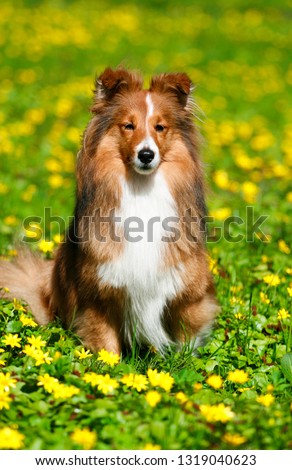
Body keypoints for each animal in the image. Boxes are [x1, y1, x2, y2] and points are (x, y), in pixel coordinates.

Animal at [0, 66, 218, 352]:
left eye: (160, 127)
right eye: (128, 126)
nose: (146, 155)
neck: (141, 189)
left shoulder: (186, 291)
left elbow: (187, 337)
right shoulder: (97, 294)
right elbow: (105, 343)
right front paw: (108, 363)